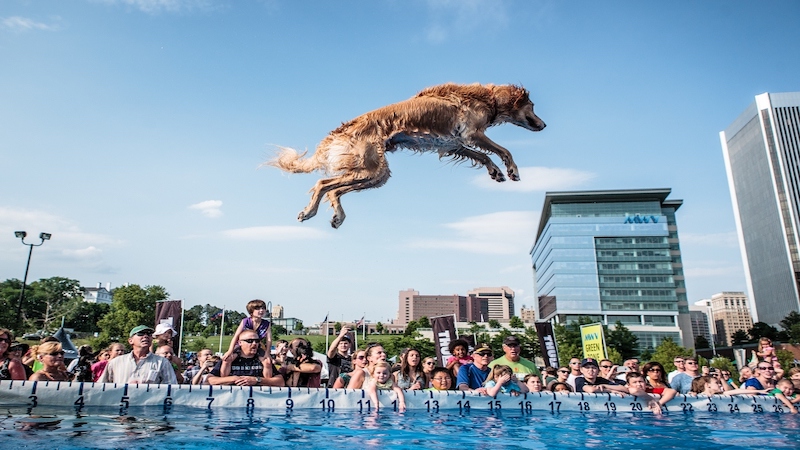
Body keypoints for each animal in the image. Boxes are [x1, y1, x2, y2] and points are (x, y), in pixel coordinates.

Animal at [268, 82, 544, 227]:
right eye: (532, 107)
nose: (544, 125)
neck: (488, 98)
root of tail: (340, 131)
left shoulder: (453, 144)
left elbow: (485, 156)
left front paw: (496, 172)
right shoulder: (472, 134)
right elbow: (503, 150)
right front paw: (512, 170)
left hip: (376, 174)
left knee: (333, 190)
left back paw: (337, 216)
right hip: (372, 168)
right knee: (322, 183)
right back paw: (309, 211)